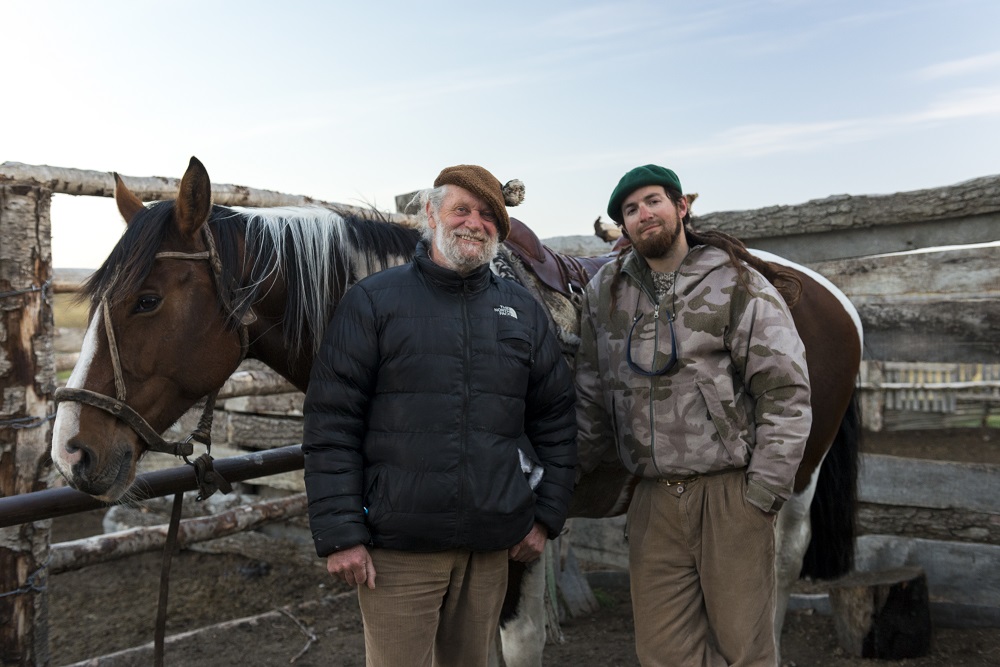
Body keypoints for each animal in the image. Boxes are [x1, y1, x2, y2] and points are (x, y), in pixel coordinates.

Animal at [50, 155, 860, 664]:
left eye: (147, 299)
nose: (72, 450)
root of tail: (826, 293)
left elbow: (516, 638)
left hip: (796, 479)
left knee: (777, 565)